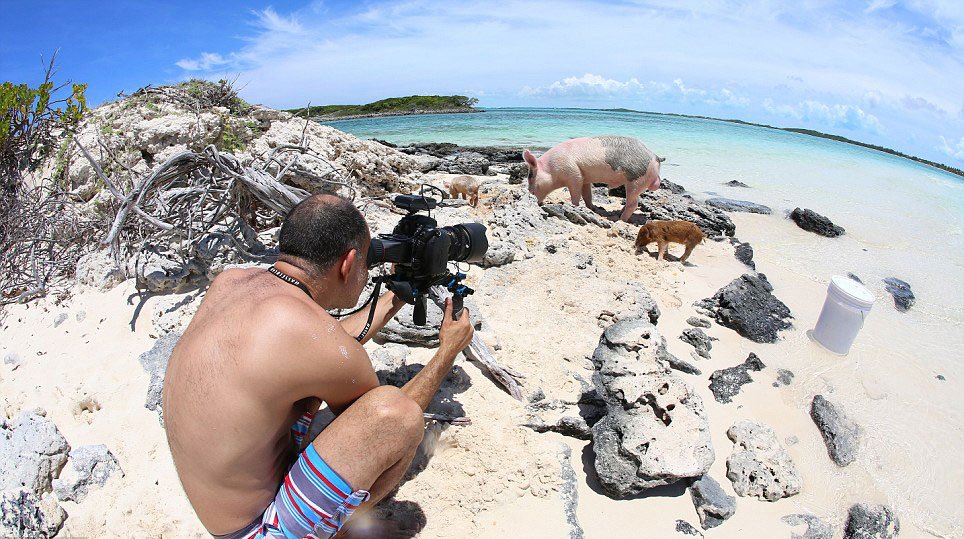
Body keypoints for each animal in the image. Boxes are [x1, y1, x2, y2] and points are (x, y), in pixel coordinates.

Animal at [524, 136, 668, 223]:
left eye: (530, 175)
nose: (529, 191)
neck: (552, 169)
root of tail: (655, 156)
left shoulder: (573, 174)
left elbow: (576, 194)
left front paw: (574, 206)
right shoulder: (584, 178)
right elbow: (587, 194)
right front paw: (592, 208)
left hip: (636, 180)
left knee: (633, 204)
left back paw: (620, 220)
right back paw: (617, 214)